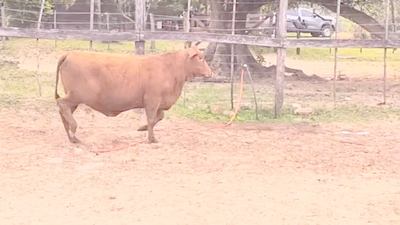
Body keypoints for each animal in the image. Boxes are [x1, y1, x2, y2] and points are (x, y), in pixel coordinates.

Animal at [54, 45, 214, 143]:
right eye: (200, 58)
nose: (210, 73)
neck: (169, 67)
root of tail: (70, 53)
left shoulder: (159, 103)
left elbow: (159, 117)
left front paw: (142, 128)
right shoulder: (152, 99)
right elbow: (152, 119)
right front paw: (151, 138)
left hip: (74, 98)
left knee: (64, 111)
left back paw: (72, 137)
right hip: (77, 95)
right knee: (62, 104)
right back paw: (73, 128)